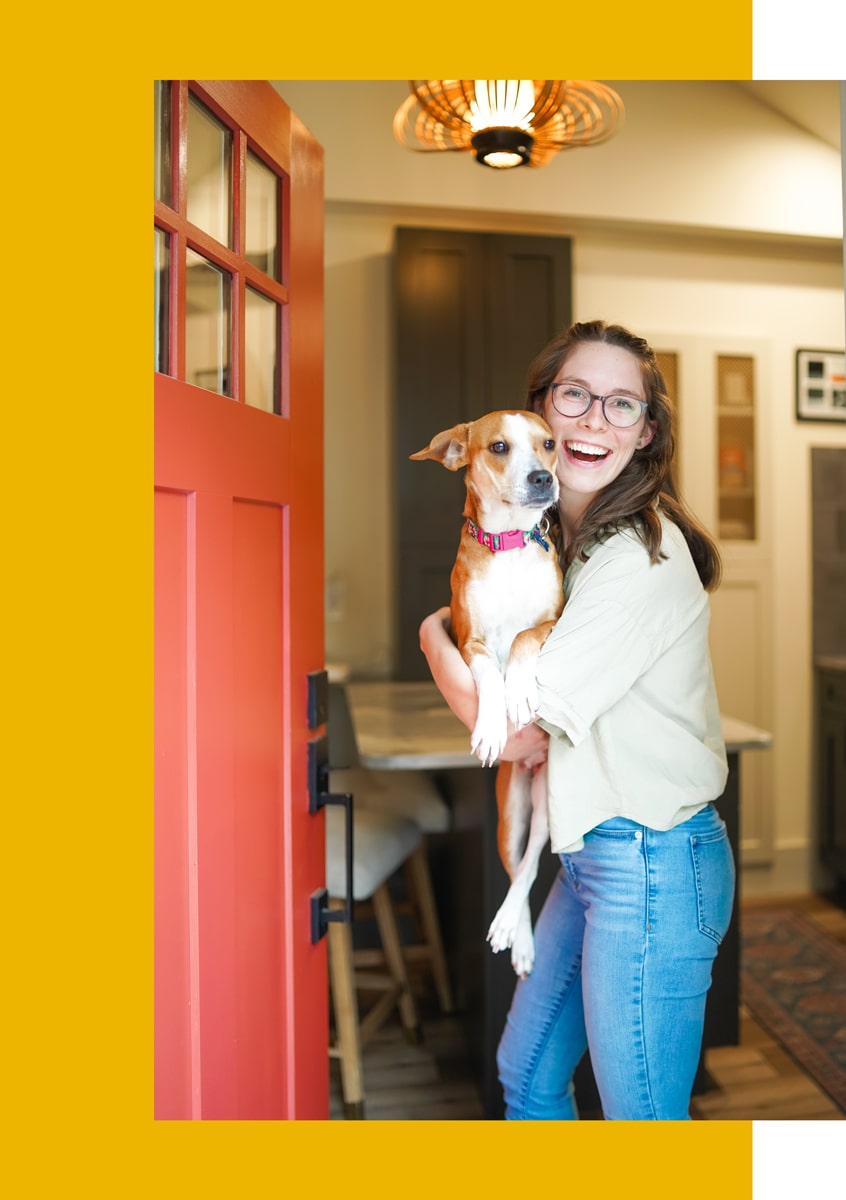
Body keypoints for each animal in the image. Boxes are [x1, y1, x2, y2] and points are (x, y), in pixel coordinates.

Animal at [408, 410, 561, 974]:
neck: (511, 545)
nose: (543, 478)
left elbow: (522, 637)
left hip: (546, 802)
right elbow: (491, 672)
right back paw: (516, 936)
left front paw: (520, 694)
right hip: (509, 813)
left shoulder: (555, 621)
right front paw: (494, 725)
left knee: (533, 862)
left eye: (549, 444)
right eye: (498, 446)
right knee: (517, 865)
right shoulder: (466, 638)